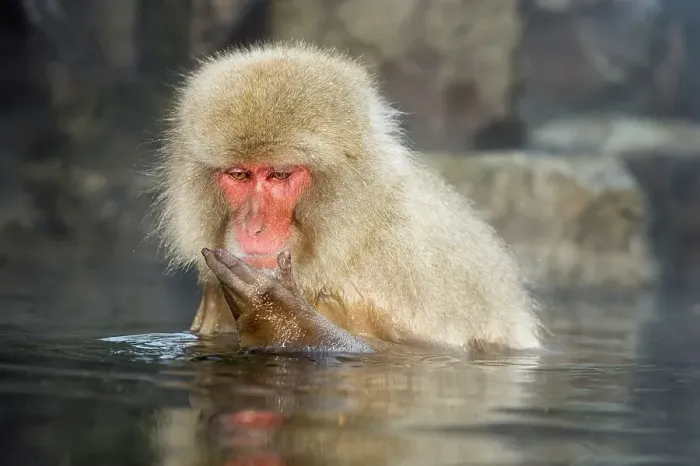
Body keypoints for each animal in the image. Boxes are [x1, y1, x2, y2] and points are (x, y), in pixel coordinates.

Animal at [153, 41, 542, 353]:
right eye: (239, 175)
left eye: (280, 174)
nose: (254, 226)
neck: (345, 242)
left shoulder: (395, 273)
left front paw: (278, 314)